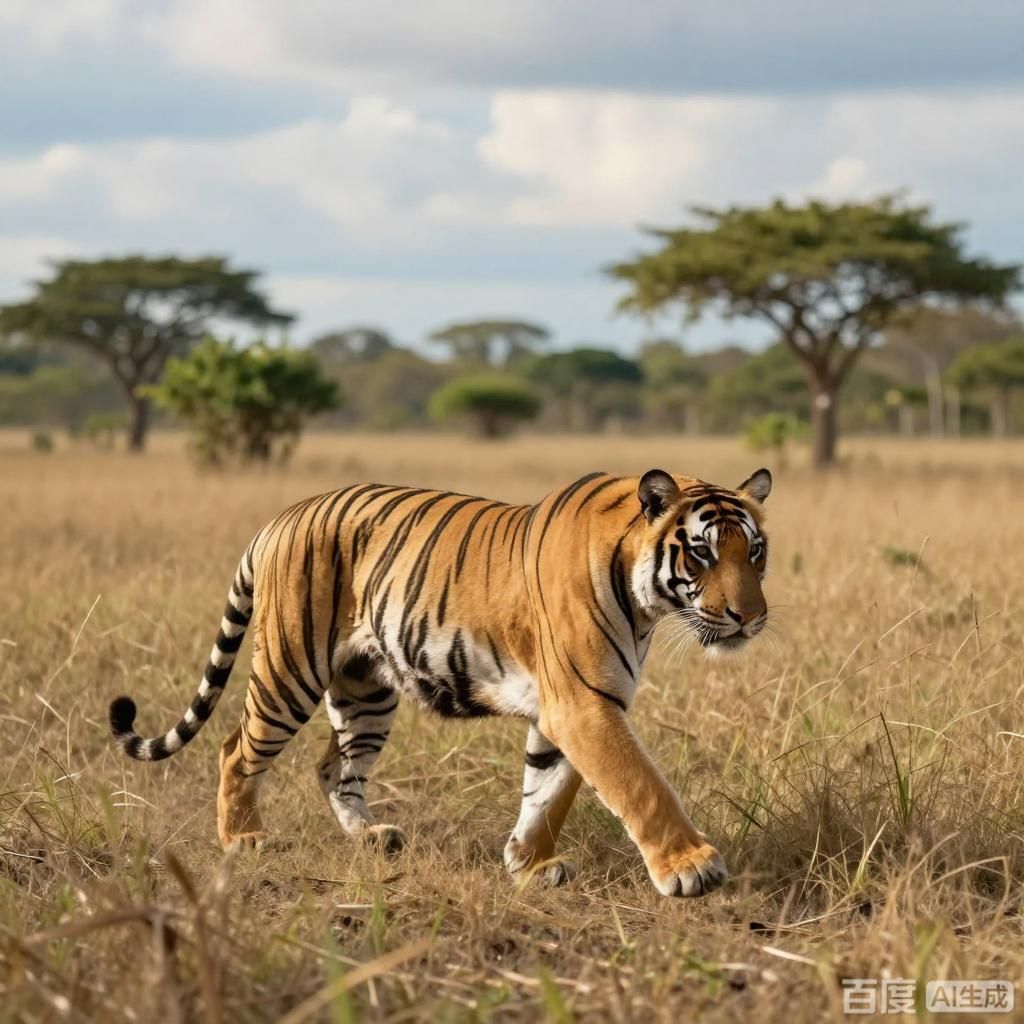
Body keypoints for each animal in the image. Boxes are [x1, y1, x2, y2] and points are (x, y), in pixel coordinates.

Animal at [110, 466, 772, 897]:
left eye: (756, 552)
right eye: (703, 553)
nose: (750, 617)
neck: (644, 602)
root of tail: (280, 518)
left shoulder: (568, 707)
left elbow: (548, 792)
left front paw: (528, 864)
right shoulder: (583, 705)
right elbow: (641, 785)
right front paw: (690, 867)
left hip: (366, 690)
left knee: (332, 766)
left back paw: (371, 837)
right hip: (289, 668)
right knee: (235, 750)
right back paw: (243, 840)